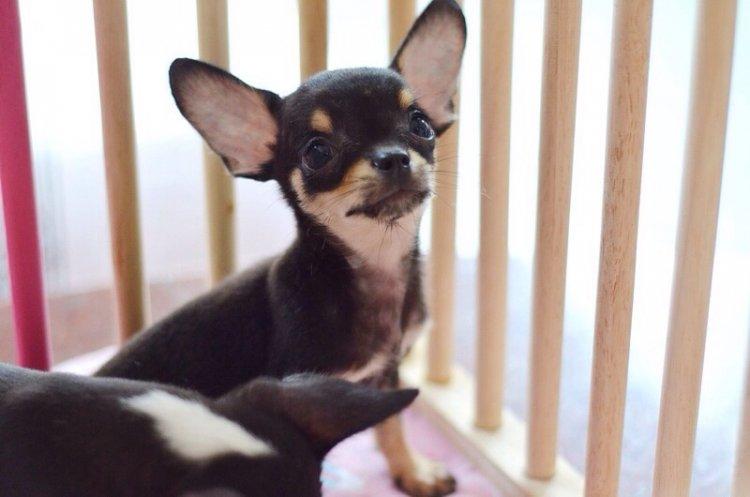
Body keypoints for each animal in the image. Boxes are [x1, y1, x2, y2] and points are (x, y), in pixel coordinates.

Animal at [97, 1, 466, 495]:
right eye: (317, 152)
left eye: (420, 125)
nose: (393, 157)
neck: (374, 269)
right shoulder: (298, 393)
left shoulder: (387, 374)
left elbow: (392, 425)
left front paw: (412, 469)